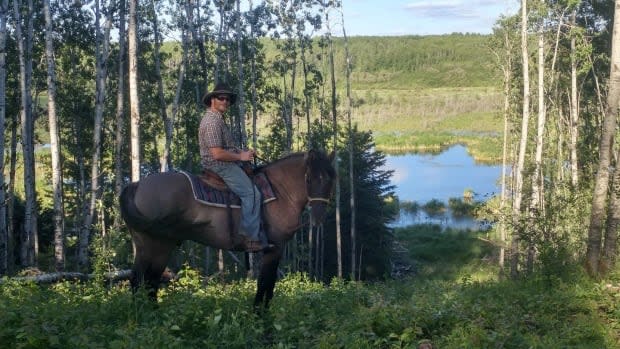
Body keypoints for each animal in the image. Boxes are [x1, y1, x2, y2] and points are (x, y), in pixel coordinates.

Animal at [118, 148, 336, 306]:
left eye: (331, 179)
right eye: (309, 179)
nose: (318, 217)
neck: (279, 192)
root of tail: (136, 185)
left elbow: (267, 287)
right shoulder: (274, 249)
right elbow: (265, 287)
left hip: (155, 247)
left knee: (148, 282)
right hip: (155, 245)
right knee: (140, 281)